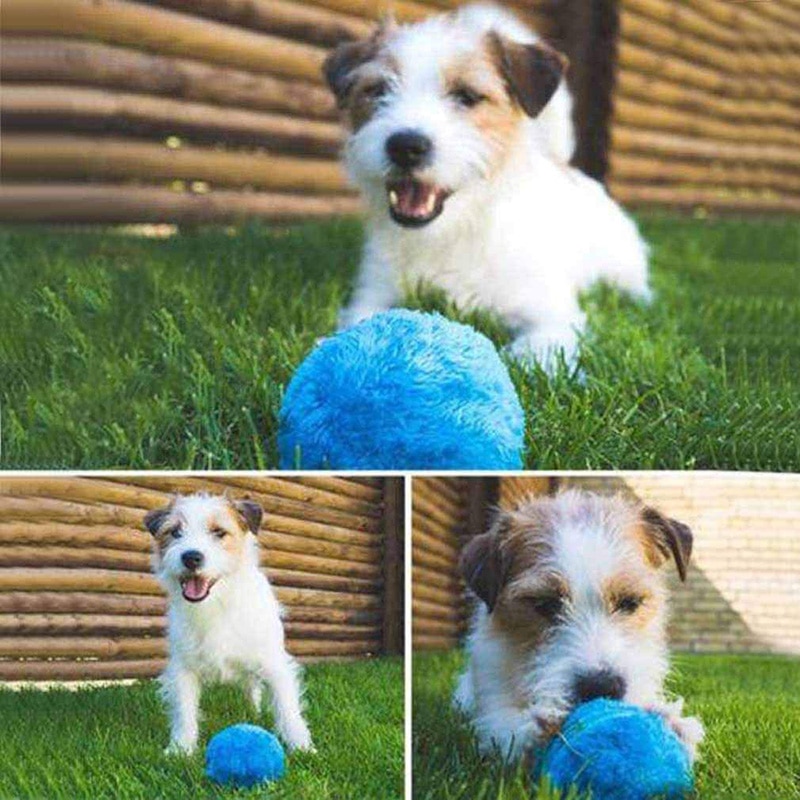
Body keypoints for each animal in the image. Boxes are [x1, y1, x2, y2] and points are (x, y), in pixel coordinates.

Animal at [145, 494, 314, 756]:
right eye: (175, 532)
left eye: (219, 532)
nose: (191, 557)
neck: (217, 605)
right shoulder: (183, 669)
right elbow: (184, 711)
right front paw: (180, 749)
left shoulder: (275, 665)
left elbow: (288, 709)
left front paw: (301, 746)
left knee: (253, 687)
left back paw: (255, 712)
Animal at [324, 3, 648, 374]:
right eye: (378, 90)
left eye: (466, 96)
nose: (405, 146)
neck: (454, 232)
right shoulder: (372, 294)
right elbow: (360, 324)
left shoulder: (551, 313)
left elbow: (538, 347)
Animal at [454, 488, 704, 764]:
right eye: (544, 603)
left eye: (629, 602)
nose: (602, 687)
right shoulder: (491, 698)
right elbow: (502, 727)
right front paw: (534, 725)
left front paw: (669, 719)